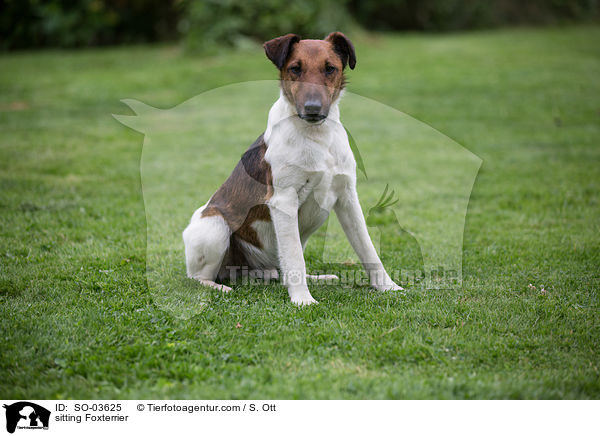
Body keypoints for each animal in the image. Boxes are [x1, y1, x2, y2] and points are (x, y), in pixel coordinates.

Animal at [180, 31, 400, 306]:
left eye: (330, 68)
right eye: (295, 68)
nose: (313, 108)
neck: (317, 137)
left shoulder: (347, 198)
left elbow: (368, 249)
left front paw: (387, 286)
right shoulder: (283, 200)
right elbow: (295, 258)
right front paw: (303, 300)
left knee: (279, 270)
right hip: (214, 227)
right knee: (198, 278)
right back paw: (219, 287)